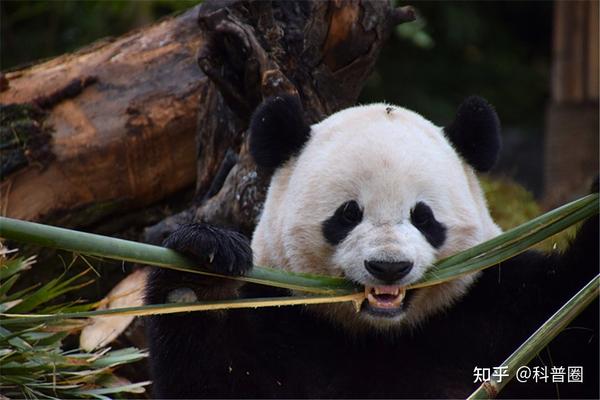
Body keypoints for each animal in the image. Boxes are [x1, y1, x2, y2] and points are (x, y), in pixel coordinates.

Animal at [144, 95, 596, 398]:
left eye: (423, 217)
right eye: (348, 214)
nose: (388, 267)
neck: (380, 334)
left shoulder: (499, 308)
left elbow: (572, 323)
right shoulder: (280, 316)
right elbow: (215, 379)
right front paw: (201, 269)